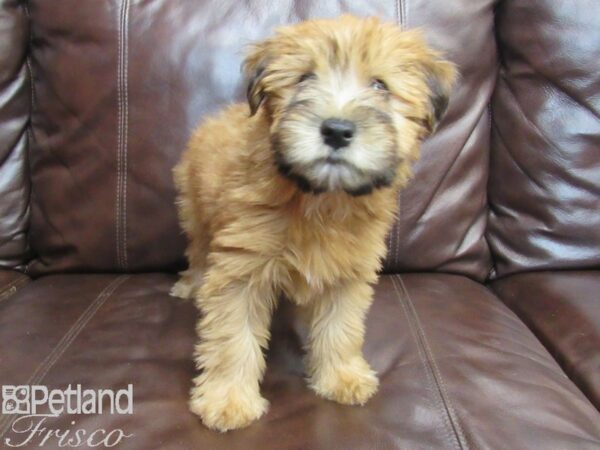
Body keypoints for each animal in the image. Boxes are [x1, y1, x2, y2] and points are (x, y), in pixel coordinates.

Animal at [171, 14, 458, 432]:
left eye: (380, 85)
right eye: (304, 78)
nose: (336, 130)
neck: (321, 200)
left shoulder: (348, 273)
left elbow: (341, 329)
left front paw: (341, 376)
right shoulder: (240, 269)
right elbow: (232, 337)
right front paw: (228, 399)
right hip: (196, 212)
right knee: (197, 249)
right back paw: (191, 284)